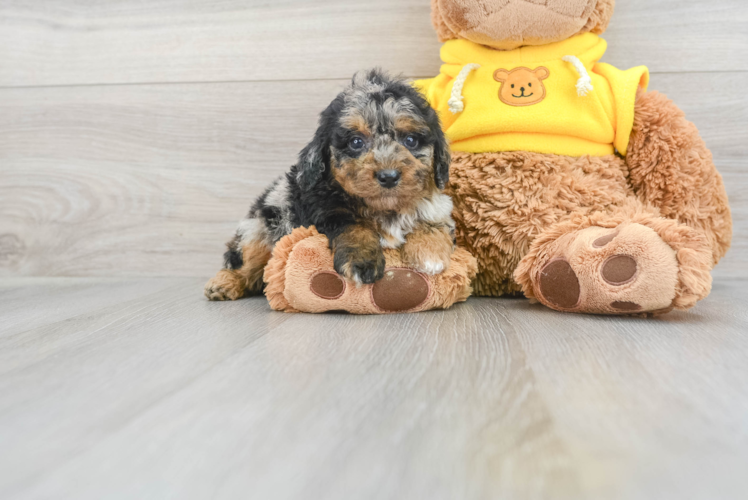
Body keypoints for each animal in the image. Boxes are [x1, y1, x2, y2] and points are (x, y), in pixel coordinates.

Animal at [202, 68, 452, 298]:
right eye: (356, 142)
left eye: (410, 140)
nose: (388, 176)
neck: (384, 207)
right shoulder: (323, 209)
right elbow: (352, 224)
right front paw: (361, 260)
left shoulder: (437, 206)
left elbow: (432, 221)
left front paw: (430, 251)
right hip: (259, 227)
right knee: (244, 261)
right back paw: (224, 283)